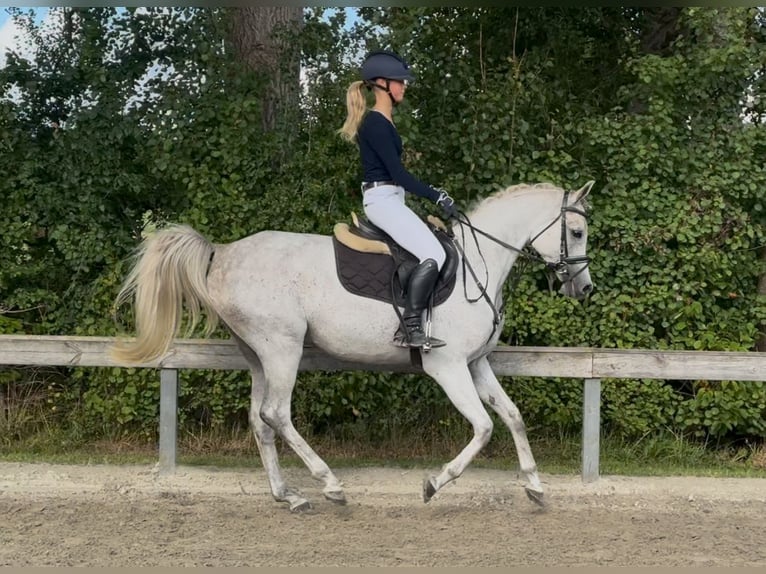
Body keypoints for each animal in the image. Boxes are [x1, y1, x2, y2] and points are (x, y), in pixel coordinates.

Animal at [111, 180, 594, 512]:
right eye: (576, 231)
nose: (584, 288)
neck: (478, 265)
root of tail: (223, 252)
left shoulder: (475, 364)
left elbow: (512, 417)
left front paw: (534, 486)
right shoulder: (448, 366)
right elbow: (484, 427)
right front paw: (435, 483)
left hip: (258, 355)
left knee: (259, 421)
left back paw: (288, 495)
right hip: (282, 347)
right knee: (276, 414)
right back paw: (329, 484)